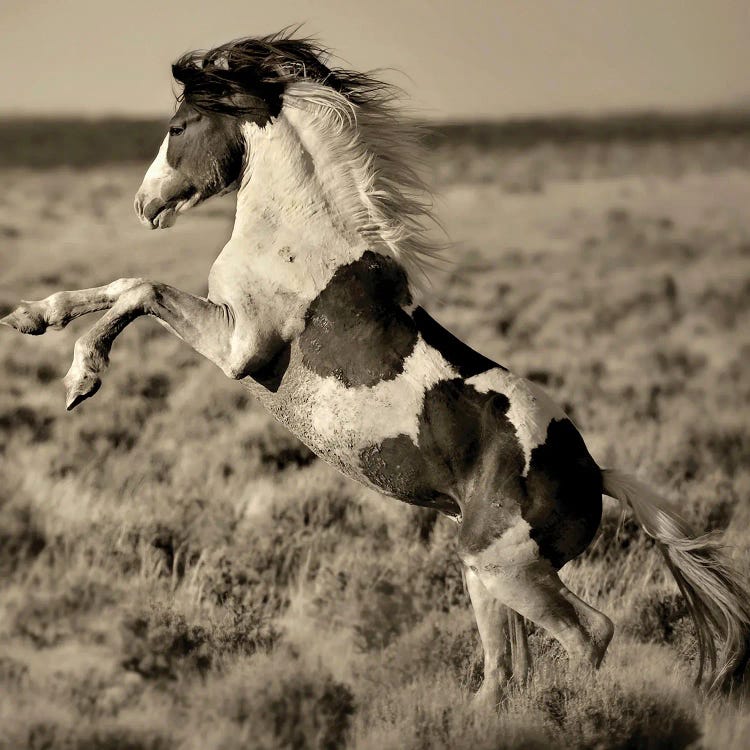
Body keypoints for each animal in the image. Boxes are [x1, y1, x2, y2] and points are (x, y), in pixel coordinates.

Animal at [1, 32, 750, 704]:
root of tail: (595, 473)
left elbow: (139, 289)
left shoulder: (238, 345)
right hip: (481, 572)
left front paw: (81, 376)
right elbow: (121, 285)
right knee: (504, 675)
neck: (299, 234)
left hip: (511, 569)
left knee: (589, 635)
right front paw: (32, 317)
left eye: (179, 125)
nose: (145, 204)